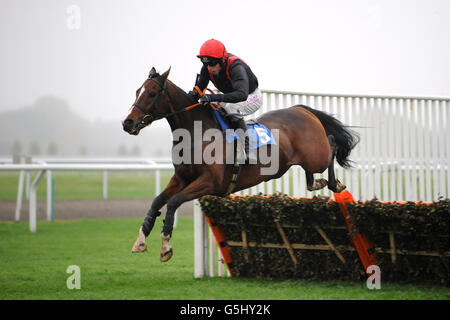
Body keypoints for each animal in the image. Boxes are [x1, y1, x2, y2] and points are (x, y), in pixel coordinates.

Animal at [122, 67, 358, 260]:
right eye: (137, 91)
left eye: (152, 93)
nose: (127, 123)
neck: (197, 133)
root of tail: (302, 110)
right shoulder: (181, 177)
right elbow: (157, 201)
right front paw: (140, 240)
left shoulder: (210, 182)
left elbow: (173, 202)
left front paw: (165, 246)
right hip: (304, 159)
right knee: (313, 168)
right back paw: (315, 183)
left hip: (316, 155)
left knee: (332, 145)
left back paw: (335, 183)